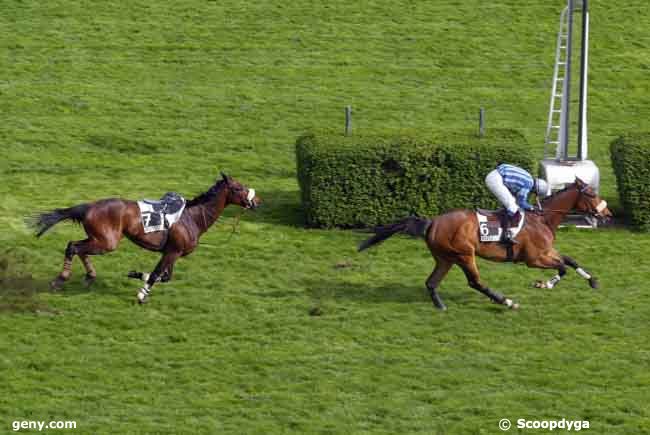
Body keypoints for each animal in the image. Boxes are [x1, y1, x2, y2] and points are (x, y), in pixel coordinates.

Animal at [29, 173, 258, 304]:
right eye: (238, 188)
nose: (255, 201)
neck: (192, 217)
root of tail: (89, 207)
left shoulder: (173, 253)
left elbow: (165, 276)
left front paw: (136, 274)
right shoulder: (172, 252)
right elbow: (157, 274)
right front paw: (141, 295)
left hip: (98, 239)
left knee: (76, 247)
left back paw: (89, 276)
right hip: (107, 242)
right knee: (74, 247)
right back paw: (61, 279)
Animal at [356, 177, 612, 310]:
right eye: (591, 194)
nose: (607, 214)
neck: (543, 219)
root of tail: (432, 222)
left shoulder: (547, 251)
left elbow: (569, 260)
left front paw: (593, 281)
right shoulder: (534, 259)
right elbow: (561, 267)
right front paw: (544, 284)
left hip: (445, 258)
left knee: (431, 282)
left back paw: (440, 305)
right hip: (464, 254)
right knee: (475, 281)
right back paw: (506, 301)